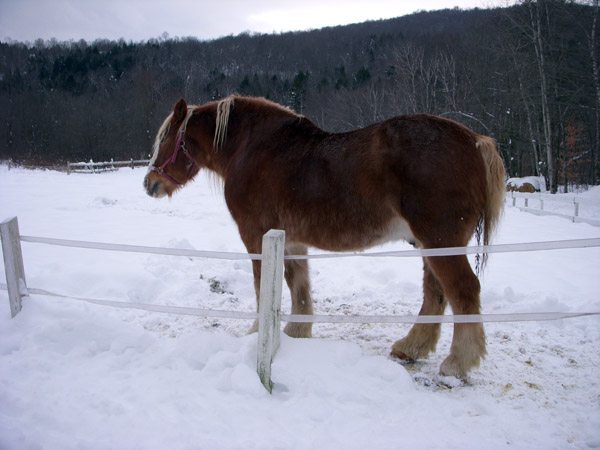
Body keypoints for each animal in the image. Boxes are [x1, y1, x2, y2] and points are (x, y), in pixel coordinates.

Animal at [145, 95, 506, 380]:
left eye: (165, 139)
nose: (149, 183)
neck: (252, 148)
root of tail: (476, 141)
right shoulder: (291, 239)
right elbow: (298, 285)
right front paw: (297, 331)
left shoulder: (257, 236)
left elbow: (264, 286)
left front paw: (257, 333)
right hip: (430, 245)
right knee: (436, 294)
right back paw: (411, 347)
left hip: (441, 241)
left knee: (463, 291)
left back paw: (457, 363)